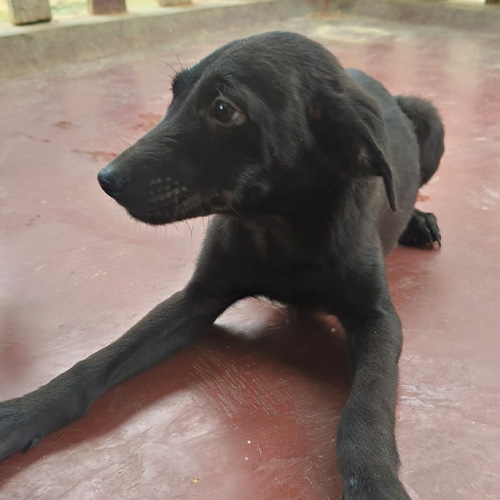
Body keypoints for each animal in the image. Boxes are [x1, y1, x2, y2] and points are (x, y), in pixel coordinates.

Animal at [0, 32, 444, 499]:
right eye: (174, 94)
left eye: (222, 109)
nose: (106, 180)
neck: (278, 226)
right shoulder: (197, 297)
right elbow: (99, 360)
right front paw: (21, 415)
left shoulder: (378, 318)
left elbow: (366, 406)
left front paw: (374, 482)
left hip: (430, 119)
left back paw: (417, 221)